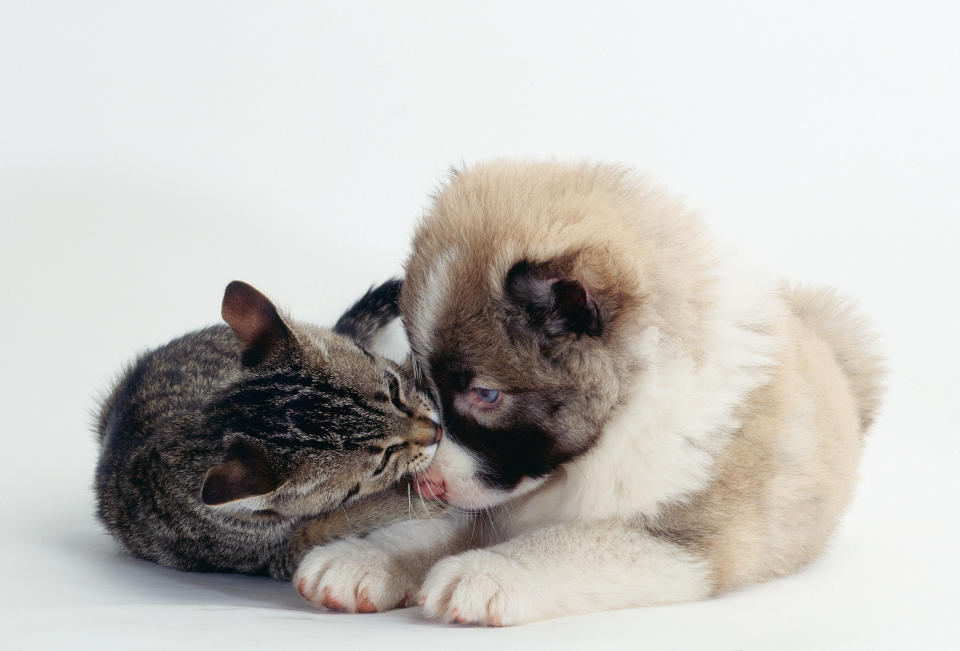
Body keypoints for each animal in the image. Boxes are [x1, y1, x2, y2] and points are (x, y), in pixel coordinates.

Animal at [294, 160, 884, 624]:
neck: (630, 406)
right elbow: (435, 529)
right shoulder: (495, 499)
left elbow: (566, 544)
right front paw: (363, 559)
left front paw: (489, 571)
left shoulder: (684, 542)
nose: (426, 484)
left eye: (486, 395)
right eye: (424, 385)